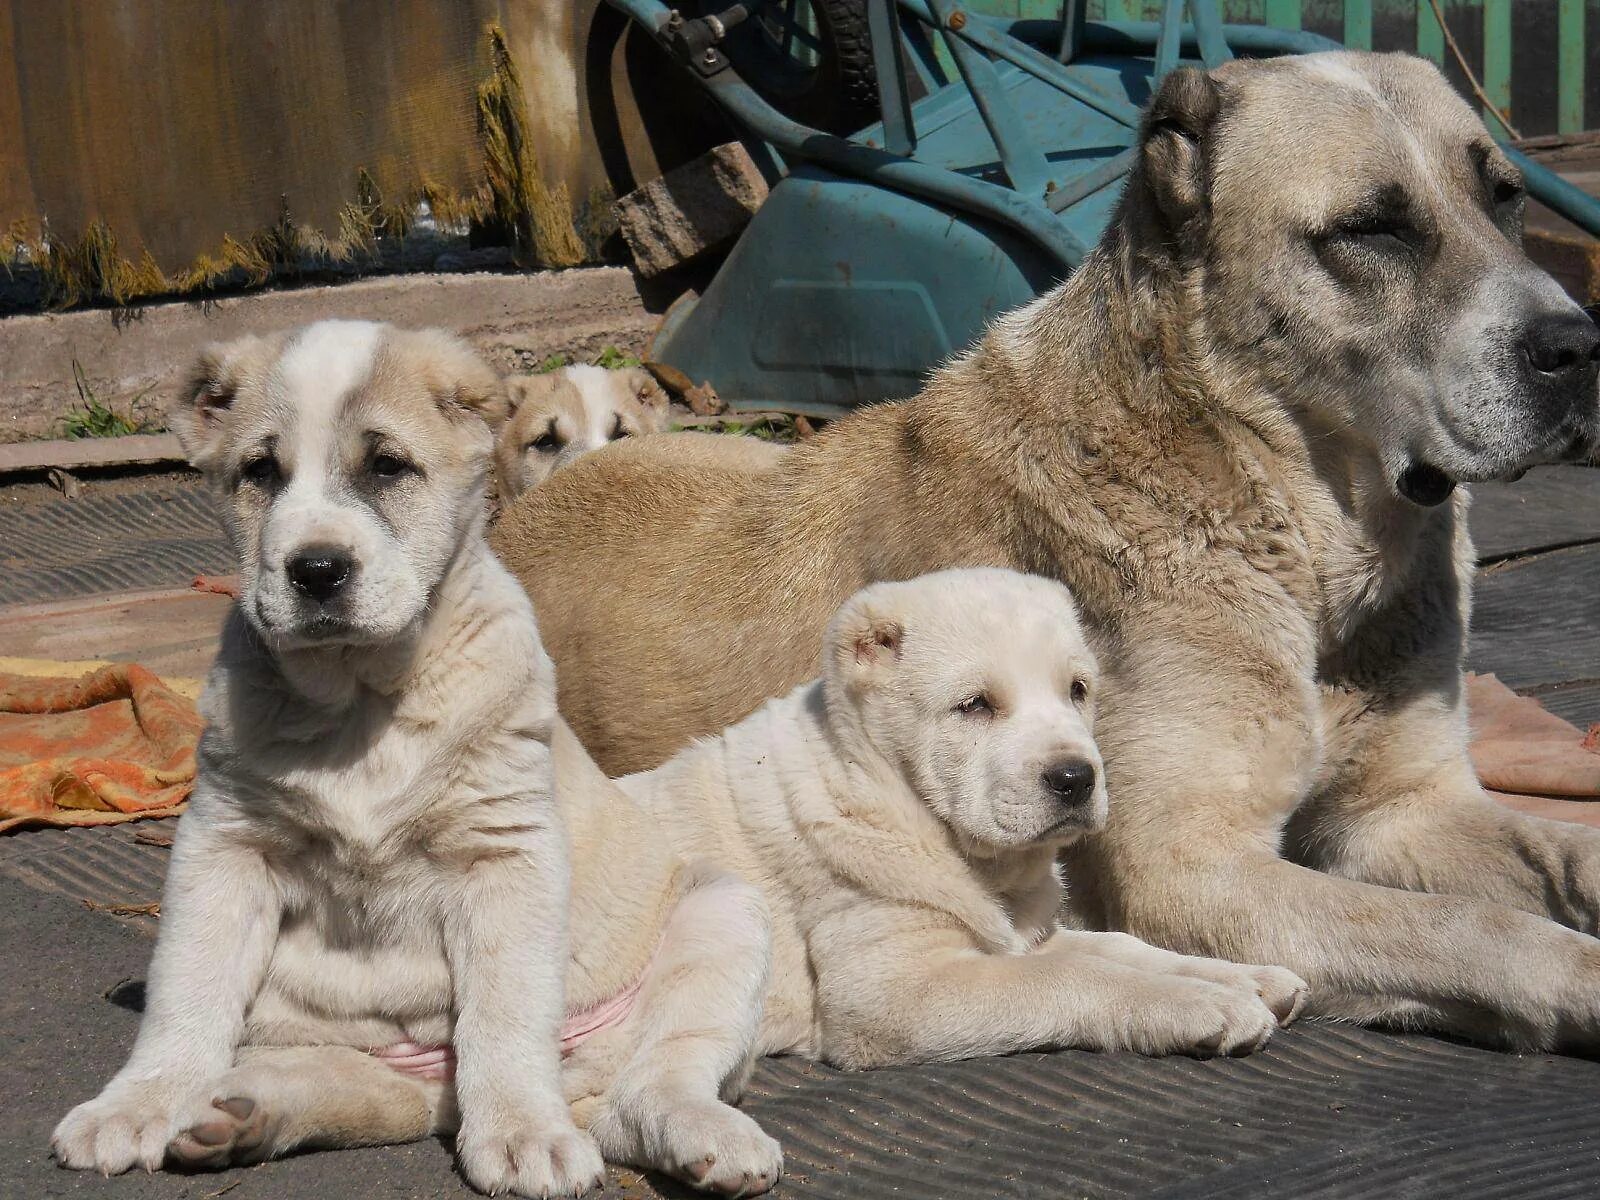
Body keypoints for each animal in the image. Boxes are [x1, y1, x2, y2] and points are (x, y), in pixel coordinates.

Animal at [617, 572, 1305, 1068]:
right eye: (975, 706)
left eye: (1078, 691)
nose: (1077, 778)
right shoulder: (889, 992)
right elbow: (1073, 974)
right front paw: (1204, 1005)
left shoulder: (1025, 932)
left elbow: (1119, 946)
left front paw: (1243, 978)